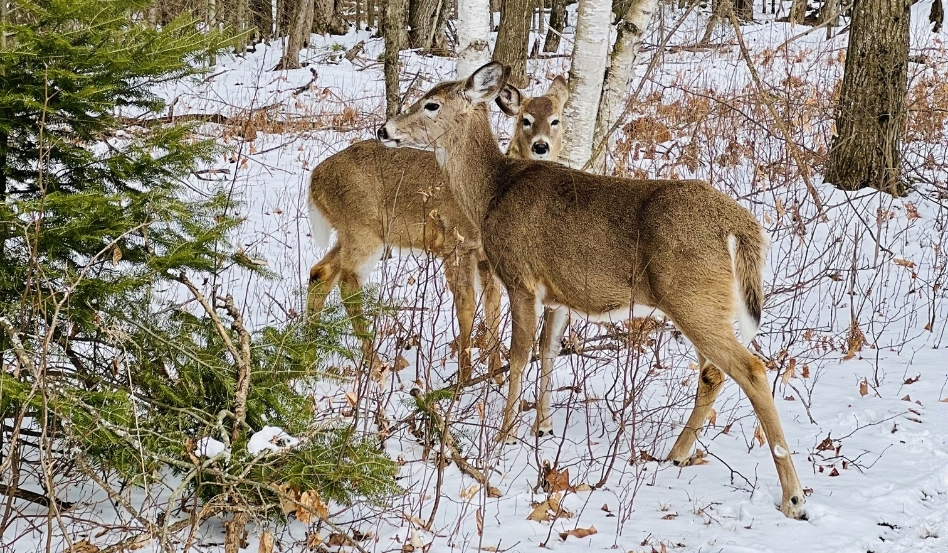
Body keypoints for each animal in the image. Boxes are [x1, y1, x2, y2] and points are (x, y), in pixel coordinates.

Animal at [306, 76, 568, 382]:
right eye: (525, 120)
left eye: (556, 119)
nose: (541, 146)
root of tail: (314, 179)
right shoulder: (454, 244)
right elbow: (466, 306)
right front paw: (466, 377)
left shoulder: (485, 257)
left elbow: (492, 306)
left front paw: (495, 374)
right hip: (363, 229)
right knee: (348, 285)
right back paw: (375, 367)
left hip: (350, 232)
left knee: (320, 272)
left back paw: (308, 355)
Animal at [376, 62, 806, 520]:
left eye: (431, 104)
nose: (384, 129)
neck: (493, 192)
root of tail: (742, 226)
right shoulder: (560, 294)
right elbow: (547, 350)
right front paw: (543, 426)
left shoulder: (520, 278)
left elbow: (519, 354)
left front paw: (503, 436)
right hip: (704, 301)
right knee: (713, 373)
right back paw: (676, 455)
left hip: (692, 298)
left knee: (751, 369)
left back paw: (793, 497)